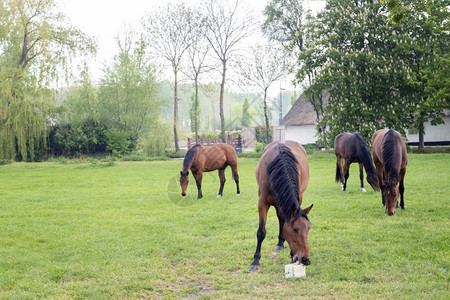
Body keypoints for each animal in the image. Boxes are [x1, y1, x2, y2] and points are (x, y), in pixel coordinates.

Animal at [250, 141, 312, 272]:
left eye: (308, 228)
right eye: (295, 230)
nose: (306, 260)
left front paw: (292, 256)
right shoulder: (262, 203)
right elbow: (261, 232)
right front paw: (256, 261)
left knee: (282, 220)